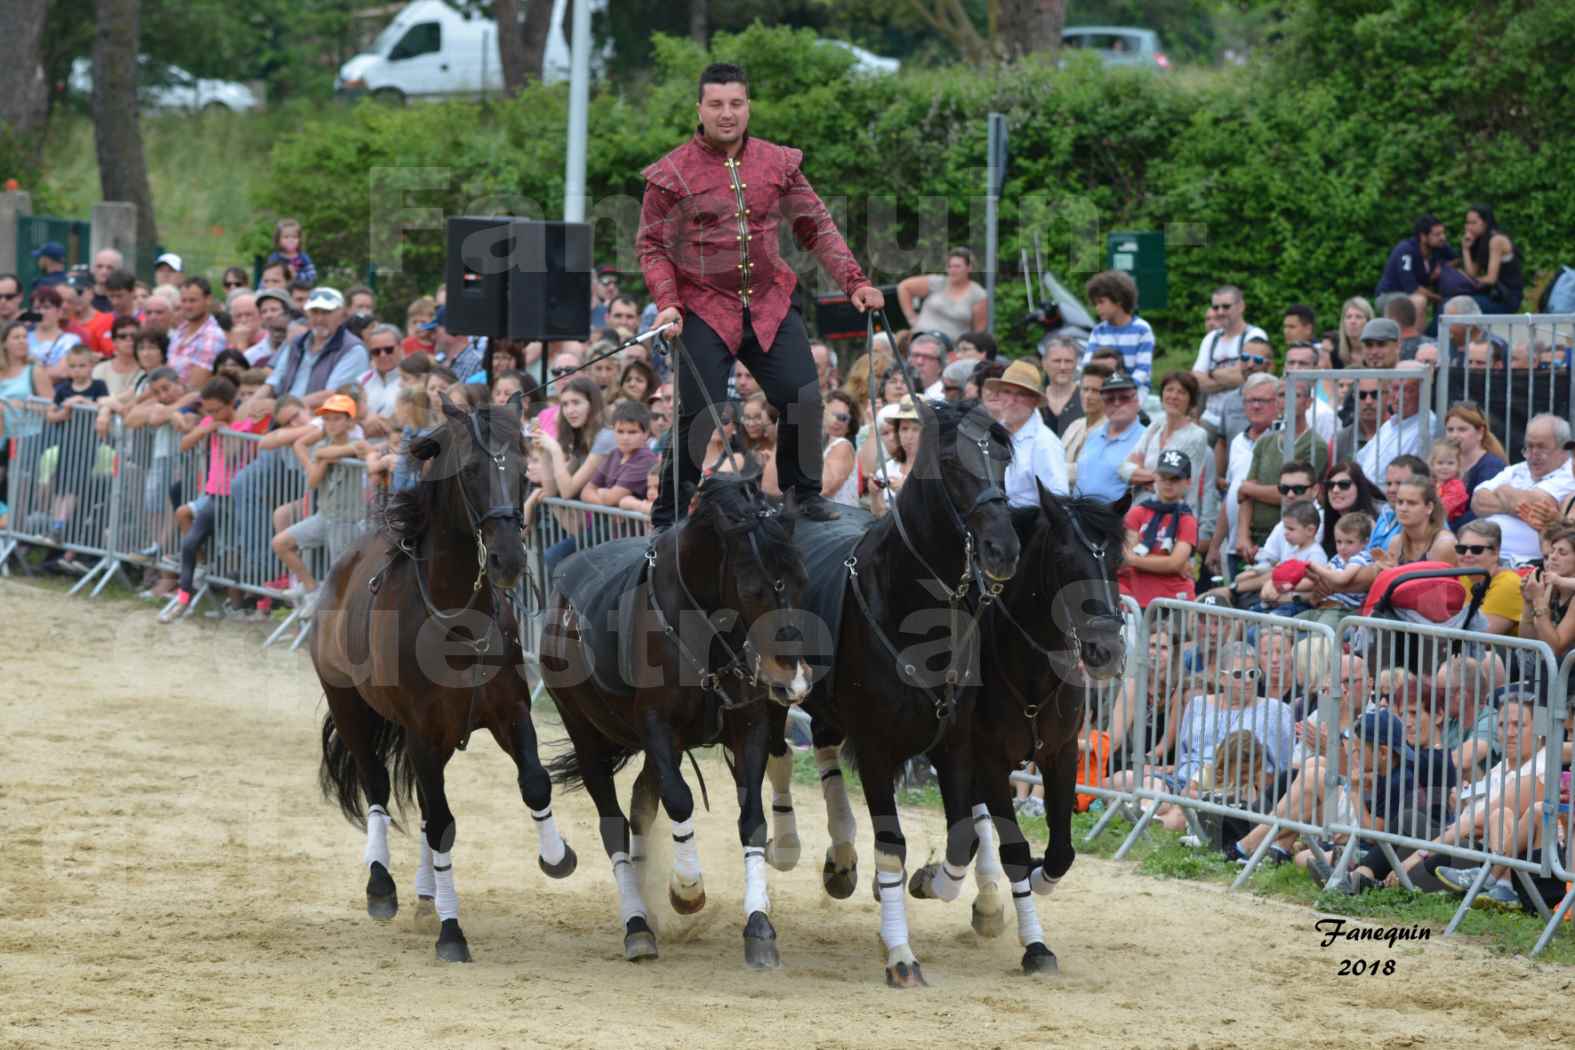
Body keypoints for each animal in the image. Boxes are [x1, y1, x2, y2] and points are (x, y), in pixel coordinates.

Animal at [311, 399, 573, 963]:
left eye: (525, 475)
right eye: (471, 472)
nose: (509, 559)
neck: (457, 617)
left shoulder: (510, 712)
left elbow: (534, 782)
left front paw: (557, 855)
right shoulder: (421, 733)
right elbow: (441, 823)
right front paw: (452, 933)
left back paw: (425, 894)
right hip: (349, 706)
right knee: (378, 786)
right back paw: (383, 886)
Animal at [541, 475, 812, 969]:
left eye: (802, 581)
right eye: (753, 589)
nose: (794, 681)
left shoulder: (749, 727)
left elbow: (752, 817)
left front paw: (759, 926)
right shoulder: (657, 727)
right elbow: (680, 800)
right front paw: (687, 888)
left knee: (640, 802)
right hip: (584, 732)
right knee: (615, 824)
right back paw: (637, 923)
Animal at [771, 398, 1020, 988]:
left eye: (1004, 458)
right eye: (950, 464)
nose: (1003, 549)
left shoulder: (954, 742)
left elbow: (963, 837)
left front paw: (931, 882)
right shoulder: (880, 750)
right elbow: (891, 849)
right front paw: (902, 956)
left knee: (824, 751)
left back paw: (840, 860)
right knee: (779, 758)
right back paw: (788, 845)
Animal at [913, 484, 1134, 976]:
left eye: (1117, 561)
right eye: (1066, 560)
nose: (1106, 650)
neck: (1029, 667)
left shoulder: (1062, 754)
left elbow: (1060, 852)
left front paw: (1035, 878)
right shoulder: (991, 760)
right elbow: (1011, 849)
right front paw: (1035, 945)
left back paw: (986, 903)